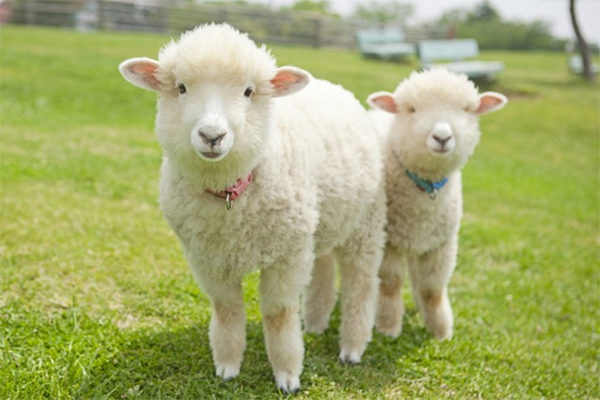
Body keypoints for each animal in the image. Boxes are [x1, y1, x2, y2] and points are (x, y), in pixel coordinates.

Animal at [119, 23, 386, 392]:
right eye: (181, 88)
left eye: (248, 91)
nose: (212, 136)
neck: (231, 194)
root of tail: (331, 86)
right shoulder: (207, 258)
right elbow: (226, 308)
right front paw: (227, 365)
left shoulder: (287, 256)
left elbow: (278, 314)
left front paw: (287, 375)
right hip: (321, 223)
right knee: (323, 267)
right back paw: (315, 324)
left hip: (366, 226)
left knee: (361, 285)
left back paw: (352, 347)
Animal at [366, 69, 506, 340]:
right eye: (411, 109)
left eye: (467, 109)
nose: (442, 137)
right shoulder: (389, 241)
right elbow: (391, 284)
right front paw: (388, 327)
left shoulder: (442, 243)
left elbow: (433, 289)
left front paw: (440, 330)